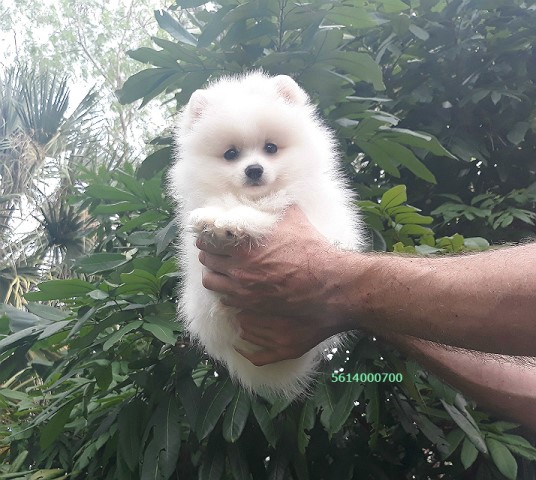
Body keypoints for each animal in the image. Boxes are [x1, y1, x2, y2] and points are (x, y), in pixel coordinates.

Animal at [169, 69, 364, 396]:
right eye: (231, 154)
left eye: (270, 148)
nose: (254, 170)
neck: (256, 197)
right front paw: (211, 219)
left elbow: (264, 215)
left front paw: (231, 222)